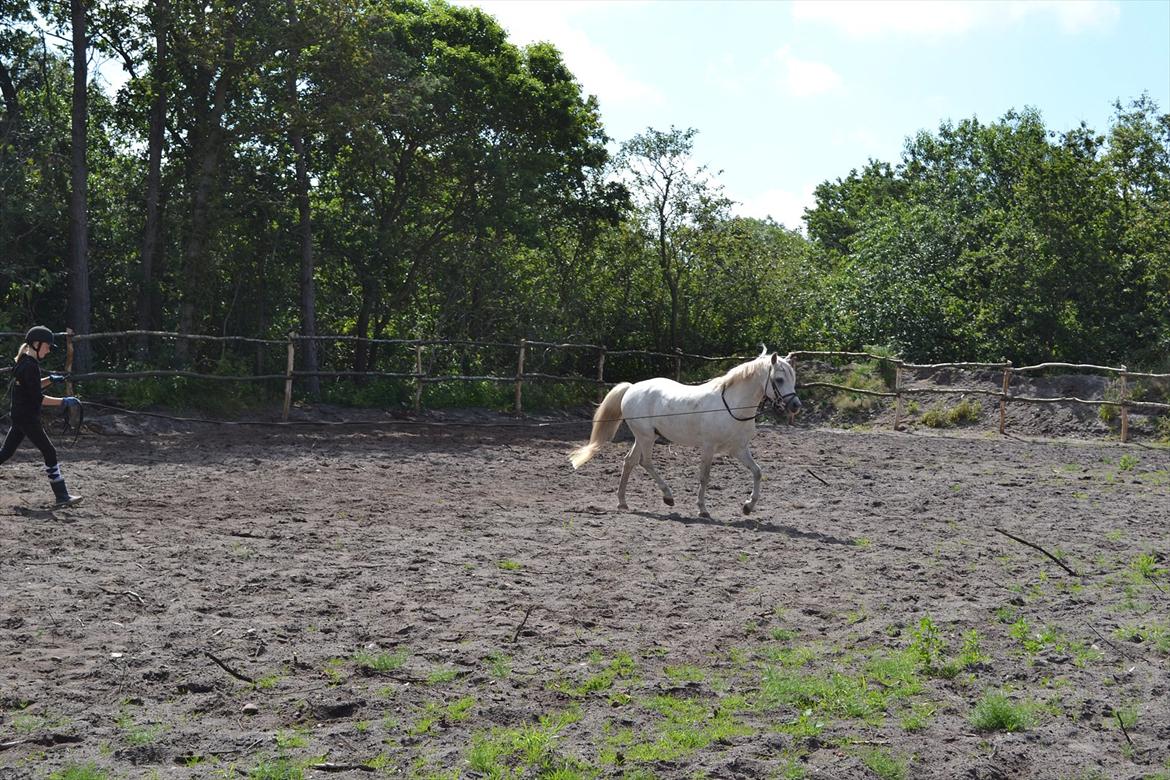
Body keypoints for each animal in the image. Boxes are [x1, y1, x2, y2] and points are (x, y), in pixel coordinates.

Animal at [569, 347, 801, 517]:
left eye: (793, 378)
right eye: (779, 380)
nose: (795, 405)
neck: (733, 406)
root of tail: (632, 387)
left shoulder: (739, 449)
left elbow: (758, 472)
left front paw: (748, 506)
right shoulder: (709, 447)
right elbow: (704, 476)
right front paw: (703, 509)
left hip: (644, 436)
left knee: (629, 462)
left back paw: (623, 503)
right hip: (646, 437)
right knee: (645, 462)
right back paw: (668, 497)